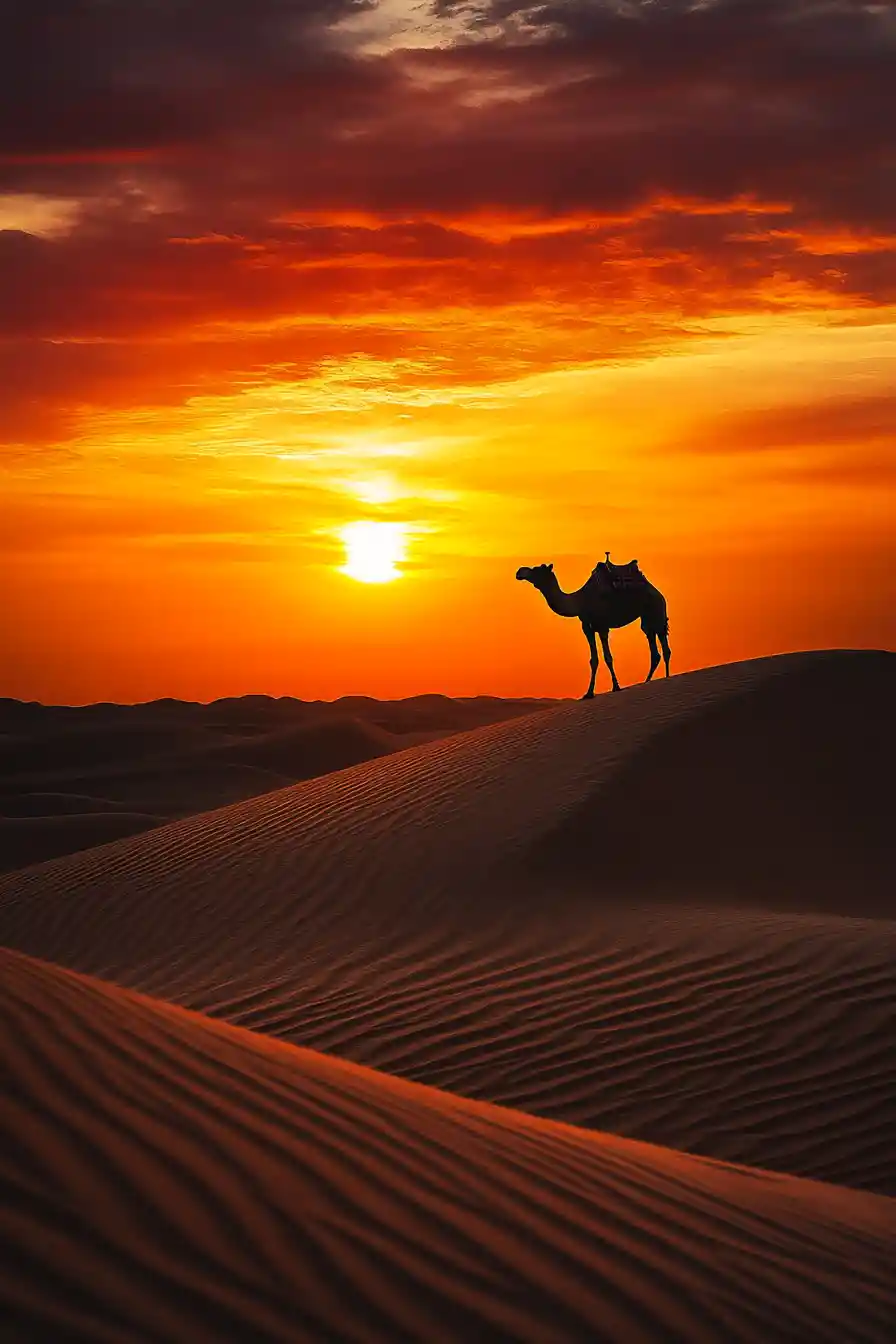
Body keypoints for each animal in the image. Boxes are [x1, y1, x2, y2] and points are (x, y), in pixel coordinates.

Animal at [516, 555, 671, 697]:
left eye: (537, 569)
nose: (520, 571)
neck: (580, 601)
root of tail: (658, 593)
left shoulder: (602, 626)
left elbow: (608, 657)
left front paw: (616, 686)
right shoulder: (586, 627)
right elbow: (593, 660)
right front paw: (589, 693)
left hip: (657, 610)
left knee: (664, 646)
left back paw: (666, 678)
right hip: (646, 619)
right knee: (654, 648)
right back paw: (648, 681)